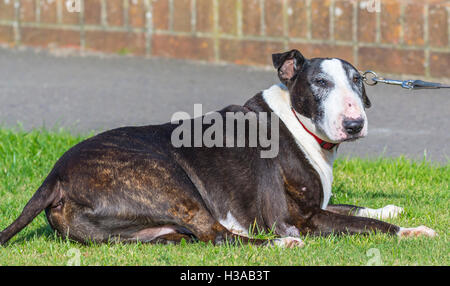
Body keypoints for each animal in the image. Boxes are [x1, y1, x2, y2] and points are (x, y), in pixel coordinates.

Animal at [0, 50, 436, 247]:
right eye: (320, 83)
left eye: (358, 82)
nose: (354, 124)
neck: (298, 123)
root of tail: (55, 176)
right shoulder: (304, 217)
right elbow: (367, 225)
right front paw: (411, 229)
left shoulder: (320, 205)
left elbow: (356, 208)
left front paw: (390, 207)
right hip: (173, 184)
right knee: (220, 234)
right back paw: (280, 243)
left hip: (149, 234)